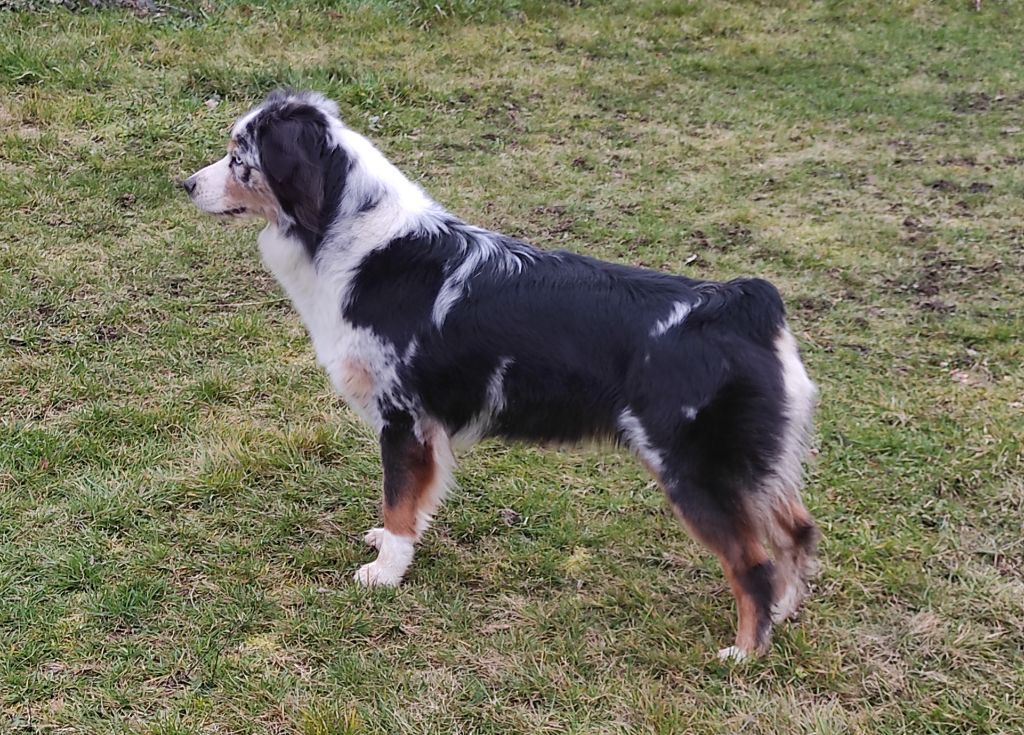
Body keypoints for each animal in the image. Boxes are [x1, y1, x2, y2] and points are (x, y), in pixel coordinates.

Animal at [183, 90, 819, 660]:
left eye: (240, 157)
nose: (184, 184)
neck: (349, 237)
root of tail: (743, 306)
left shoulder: (403, 417)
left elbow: (397, 499)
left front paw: (384, 573)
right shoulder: (426, 429)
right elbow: (414, 501)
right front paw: (397, 548)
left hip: (694, 471)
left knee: (753, 562)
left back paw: (745, 652)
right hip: (754, 469)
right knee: (798, 531)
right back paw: (785, 612)